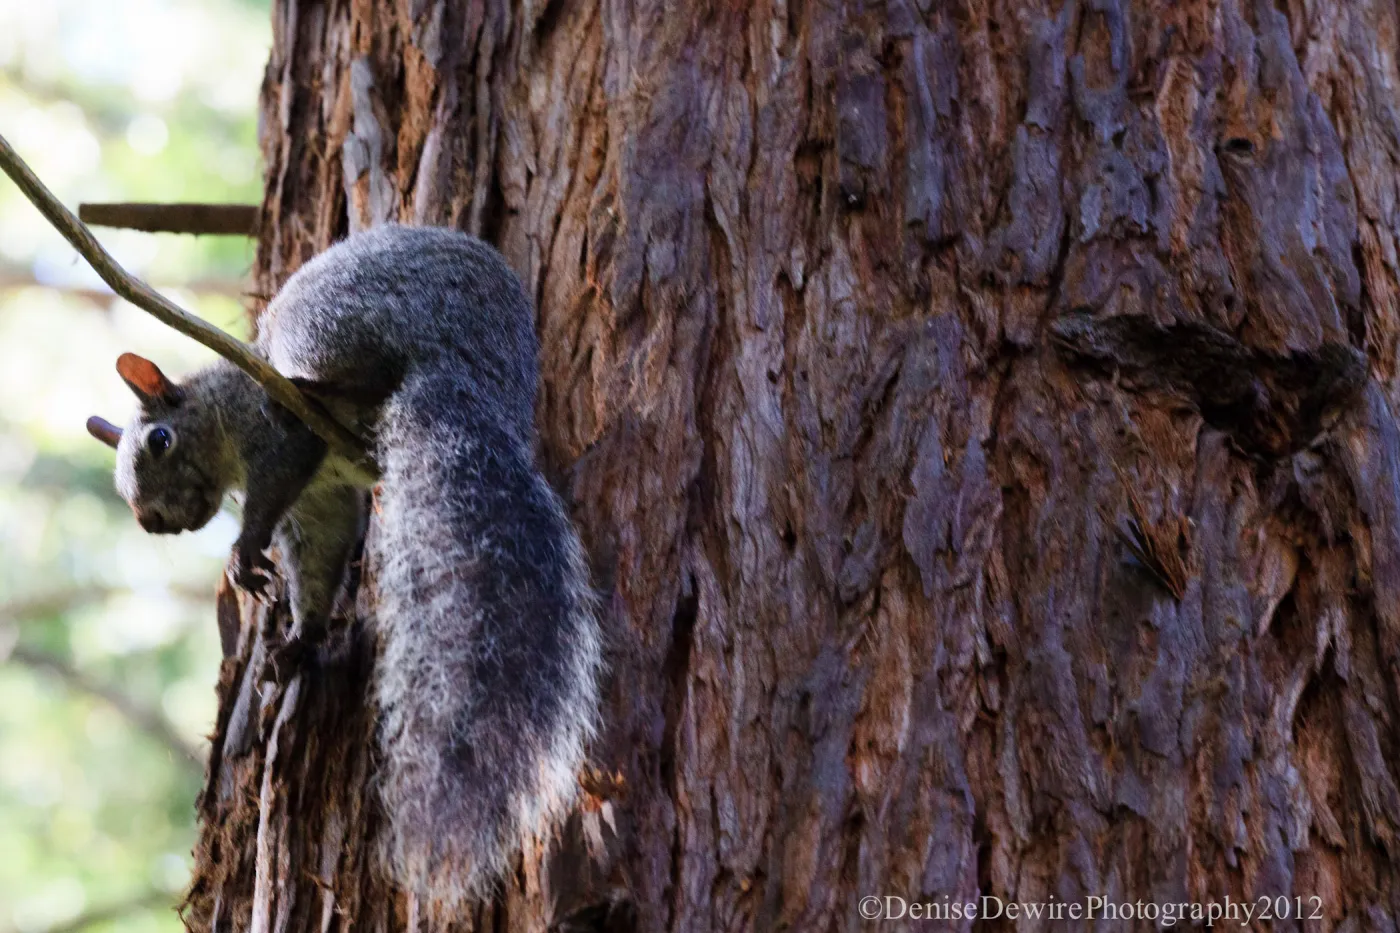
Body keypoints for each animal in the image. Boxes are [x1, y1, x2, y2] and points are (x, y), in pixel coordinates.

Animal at [85, 224, 603, 905]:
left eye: (159, 441)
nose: (150, 521)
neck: (222, 407)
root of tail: (474, 366)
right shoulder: (319, 502)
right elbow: (320, 559)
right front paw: (299, 642)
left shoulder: (275, 437)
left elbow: (278, 477)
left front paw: (245, 552)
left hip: (330, 322)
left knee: (353, 370)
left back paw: (316, 389)